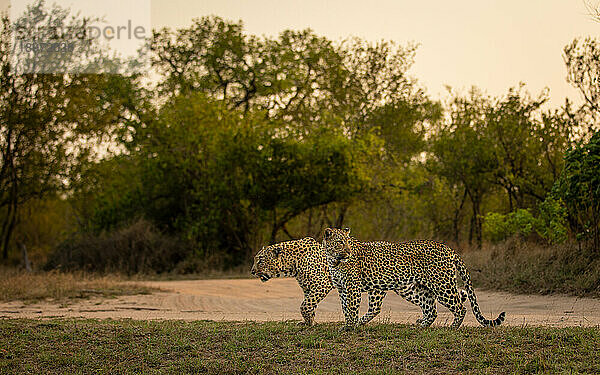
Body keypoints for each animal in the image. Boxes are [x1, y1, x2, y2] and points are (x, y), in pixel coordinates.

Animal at [322, 228, 504, 330]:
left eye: (347, 243)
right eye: (340, 242)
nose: (348, 252)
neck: (334, 260)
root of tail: (448, 249)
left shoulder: (352, 287)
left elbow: (352, 308)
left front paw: (350, 327)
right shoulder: (342, 289)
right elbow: (345, 308)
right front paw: (348, 324)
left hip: (442, 285)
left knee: (460, 307)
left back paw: (452, 328)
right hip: (419, 288)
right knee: (431, 309)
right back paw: (421, 326)